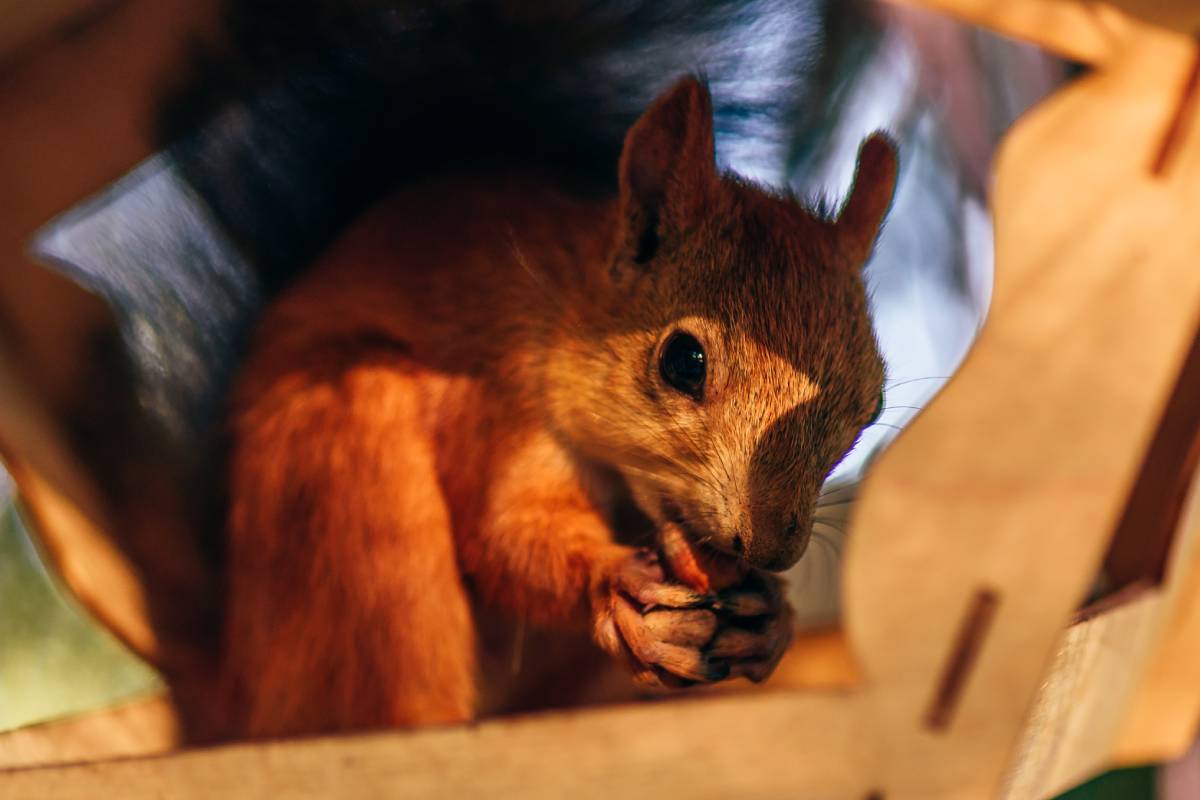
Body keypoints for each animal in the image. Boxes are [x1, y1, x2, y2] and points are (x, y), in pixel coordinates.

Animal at [213, 70, 892, 738]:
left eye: (871, 407)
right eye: (683, 361)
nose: (773, 550)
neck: (564, 307)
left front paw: (773, 619)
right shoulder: (501, 394)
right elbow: (507, 527)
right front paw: (615, 579)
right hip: (352, 496)